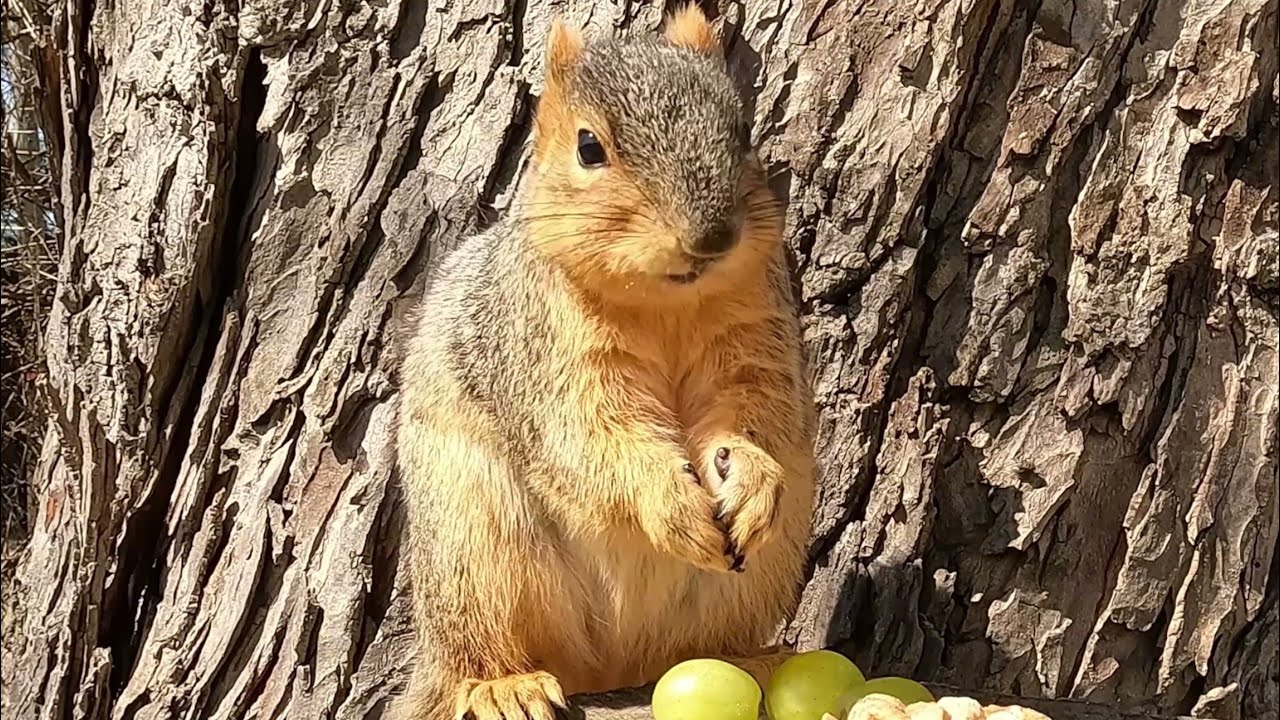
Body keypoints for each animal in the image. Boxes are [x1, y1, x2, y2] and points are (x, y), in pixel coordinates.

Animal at [394, 6, 816, 720]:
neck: (664, 305)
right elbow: (590, 439)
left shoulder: (755, 334)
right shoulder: (544, 355)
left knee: (693, 647)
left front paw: (749, 471)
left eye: (742, 132)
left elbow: (757, 405)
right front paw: (667, 498)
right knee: (473, 656)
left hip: (759, 568)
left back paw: (753, 661)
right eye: (589, 147)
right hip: (473, 543)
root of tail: (608, 668)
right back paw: (502, 685)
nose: (712, 237)